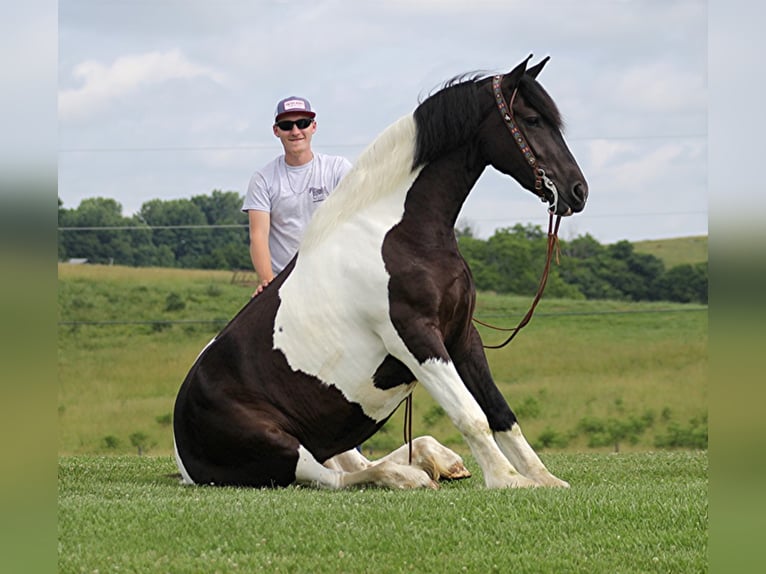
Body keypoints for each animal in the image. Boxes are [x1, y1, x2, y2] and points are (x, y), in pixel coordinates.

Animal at [174, 56, 592, 490]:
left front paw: (543, 478)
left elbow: (501, 413)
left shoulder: (462, 336)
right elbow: (470, 415)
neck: (399, 233)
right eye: (532, 119)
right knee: (336, 478)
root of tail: (182, 455)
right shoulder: (415, 338)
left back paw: (435, 460)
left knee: (351, 463)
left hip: (322, 442)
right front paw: (507, 481)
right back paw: (411, 475)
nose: (578, 191)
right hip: (281, 447)